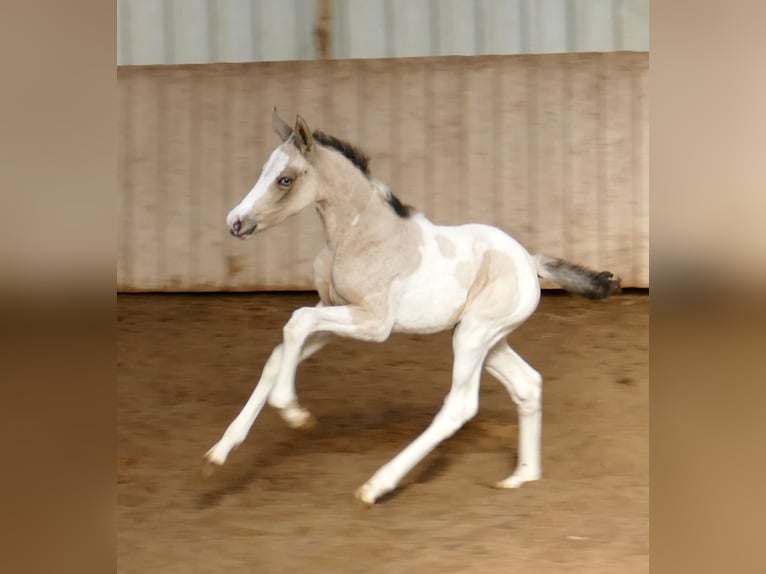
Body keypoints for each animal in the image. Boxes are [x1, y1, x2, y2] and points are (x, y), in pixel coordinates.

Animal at [204, 108, 621, 505]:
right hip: (488, 339)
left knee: (460, 406)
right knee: (527, 384)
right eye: (264, 169)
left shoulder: (374, 323)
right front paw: (221, 451)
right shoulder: (335, 310)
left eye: (285, 179)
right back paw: (522, 478)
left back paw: (375, 486)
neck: (358, 236)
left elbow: (296, 321)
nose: (235, 221)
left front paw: (294, 412)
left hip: (474, 336)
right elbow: (282, 350)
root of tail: (529, 260)